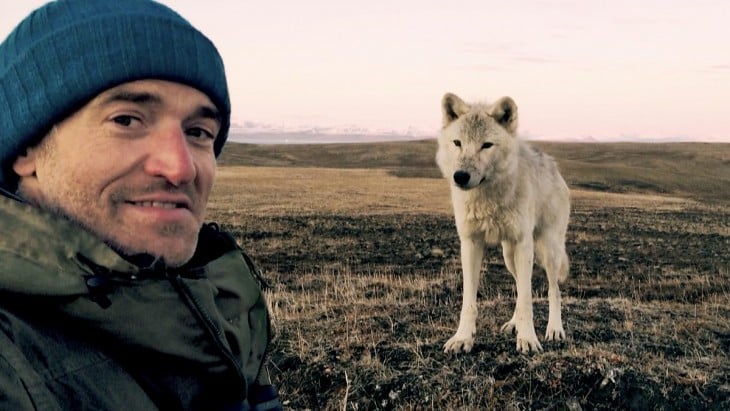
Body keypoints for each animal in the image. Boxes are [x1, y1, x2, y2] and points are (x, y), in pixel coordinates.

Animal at [432, 93, 568, 354]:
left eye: (486, 145)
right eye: (457, 143)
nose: (460, 176)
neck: (487, 197)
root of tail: (554, 165)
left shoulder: (524, 243)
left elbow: (527, 300)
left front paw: (528, 339)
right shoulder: (470, 243)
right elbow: (469, 301)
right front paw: (463, 338)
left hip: (547, 251)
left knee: (553, 290)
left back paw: (555, 330)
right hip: (508, 255)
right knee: (519, 286)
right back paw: (514, 324)